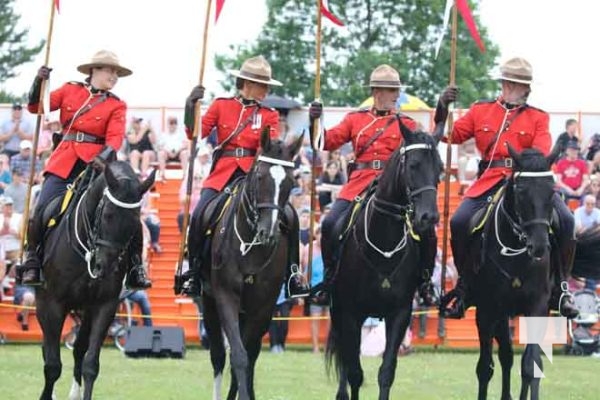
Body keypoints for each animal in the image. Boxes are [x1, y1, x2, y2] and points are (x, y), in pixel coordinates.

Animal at [32, 161, 155, 400]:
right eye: (107, 214)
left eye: (135, 221)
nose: (105, 267)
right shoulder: (52, 304)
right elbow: (52, 365)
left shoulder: (104, 306)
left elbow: (90, 363)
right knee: (47, 349)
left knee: (79, 348)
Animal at [200, 129, 304, 400]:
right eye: (259, 176)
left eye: (290, 182)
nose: (268, 232)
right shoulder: (225, 296)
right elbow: (238, 355)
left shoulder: (263, 307)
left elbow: (248, 357)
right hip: (209, 301)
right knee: (218, 355)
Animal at [326, 122, 442, 400]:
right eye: (414, 165)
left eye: (440, 169)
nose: (429, 217)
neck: (384, 243)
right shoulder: (351, 314)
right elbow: (355, 373)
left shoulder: (399, 314)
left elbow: (386, 371)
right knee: (345, 358)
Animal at [468, 145, 556, 400]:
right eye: (521, 192)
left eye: (552, 192)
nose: (539, 246)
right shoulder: (487, 309)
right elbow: (486, 367)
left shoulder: (537, 307)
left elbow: (530, 366)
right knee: (506, 356)